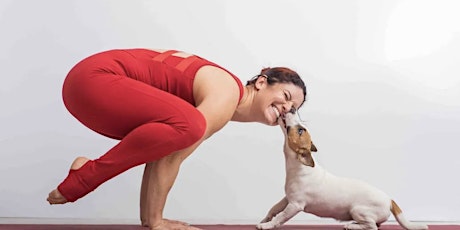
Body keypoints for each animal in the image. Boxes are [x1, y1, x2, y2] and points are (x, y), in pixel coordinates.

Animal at [256, 109, 430, 230]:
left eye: (300, 130)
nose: (292, 108)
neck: (300, 167)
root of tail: (390, 200)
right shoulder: (287, 199)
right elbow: (274, 208)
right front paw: (265, 219)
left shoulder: (295, 205)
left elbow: (281, 217)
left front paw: (266, 225)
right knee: (377, 225)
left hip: (358, 210)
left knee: (372, 226)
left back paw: (351, 225)